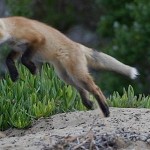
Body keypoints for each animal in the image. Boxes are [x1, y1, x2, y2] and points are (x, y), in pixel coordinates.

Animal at [0, 16, 138, 117]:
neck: (12, 29)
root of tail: (78, 45)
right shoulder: (18, 48)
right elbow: (9, 60)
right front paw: (14, 75)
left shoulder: (37, 39)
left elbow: (24, 59)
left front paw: (32, 68)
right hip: (66, 76)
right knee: (81, 89)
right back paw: (88, 104)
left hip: (76, 74)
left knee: (96, 88)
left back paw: (105, 110)